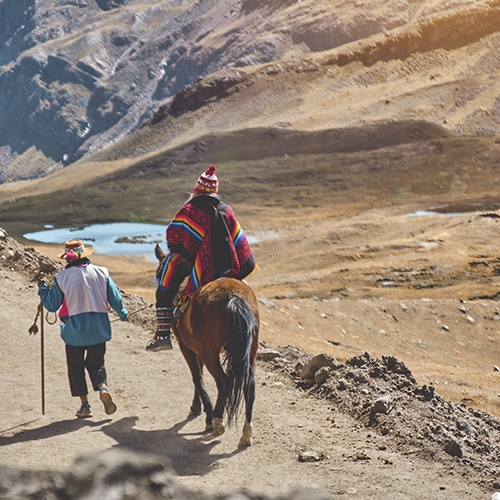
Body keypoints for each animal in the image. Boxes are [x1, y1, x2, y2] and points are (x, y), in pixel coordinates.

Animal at [154, 245, 260, 446]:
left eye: (159, 271)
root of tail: (234, 297)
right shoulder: (196, 349)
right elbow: (199, 375)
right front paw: (197, 408)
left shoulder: (186, 347)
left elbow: (197, 377)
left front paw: (207, 416)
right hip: (250, 352)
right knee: (249, 385)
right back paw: (246, 434)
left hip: (210, 353)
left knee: (223, 381)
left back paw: (218, 421)